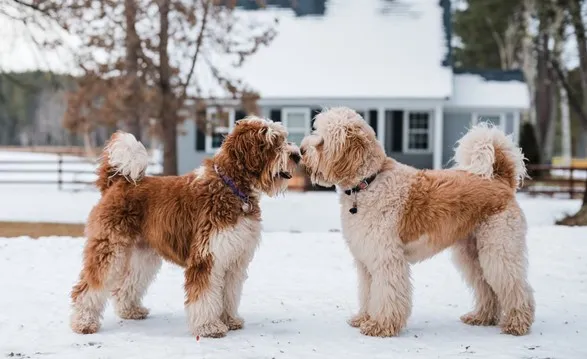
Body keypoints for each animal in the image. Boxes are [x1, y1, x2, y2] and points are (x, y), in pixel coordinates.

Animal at [69, 116, 300, 338]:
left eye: (283, 138)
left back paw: (130, 310)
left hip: (142, 254)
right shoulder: (207, 257)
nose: (297, 155)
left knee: (126, 284)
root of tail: (119, 182)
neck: (231, 187)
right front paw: (209, 327)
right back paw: (84, 323)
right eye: (273, 141)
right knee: (87, 288)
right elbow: (205, 296)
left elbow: (229, 293)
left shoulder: (233, 259)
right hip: (109, 248)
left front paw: (229, 320)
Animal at [300, 106, 536, 338]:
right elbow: (368, 293)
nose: (301, 150)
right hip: (472, 255)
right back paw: (481, 317)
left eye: (322, 142)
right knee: (487, 288)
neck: (368, 182)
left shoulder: (386, 258)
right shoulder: (366, 260)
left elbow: (385, 294)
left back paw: (516, 324)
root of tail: (501, 181)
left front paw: (380, 326)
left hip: (499, 251)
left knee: (516, 287)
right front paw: (364, 318)